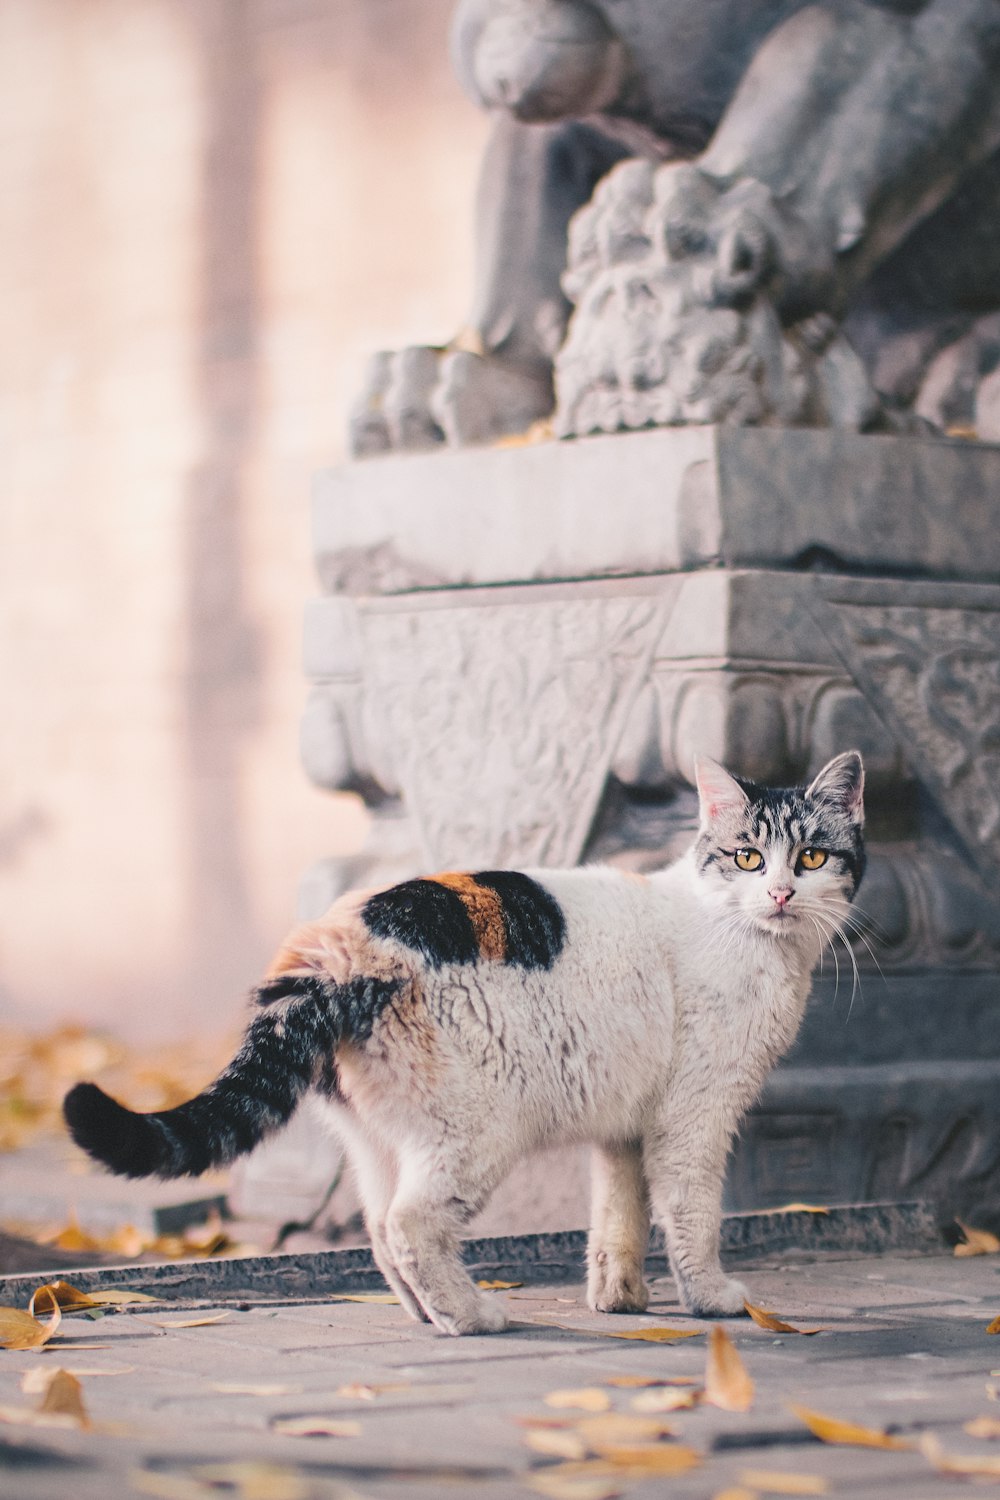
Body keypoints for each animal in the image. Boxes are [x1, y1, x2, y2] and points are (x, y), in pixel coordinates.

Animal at [62, 750, 863, 1338]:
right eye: (748, 859)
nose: (783, 894)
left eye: (813, 859)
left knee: (380, 1228)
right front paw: (712, 1298)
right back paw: (471, 1317)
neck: (746, 935)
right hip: (474, 1130)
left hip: (380, 1139)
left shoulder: (626, 1127)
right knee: (411, 1224)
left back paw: (429, 1315)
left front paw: (620, 1296)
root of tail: (333, 944)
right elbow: (693, 1212)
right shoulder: (694, 1117)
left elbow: (619, 1216)